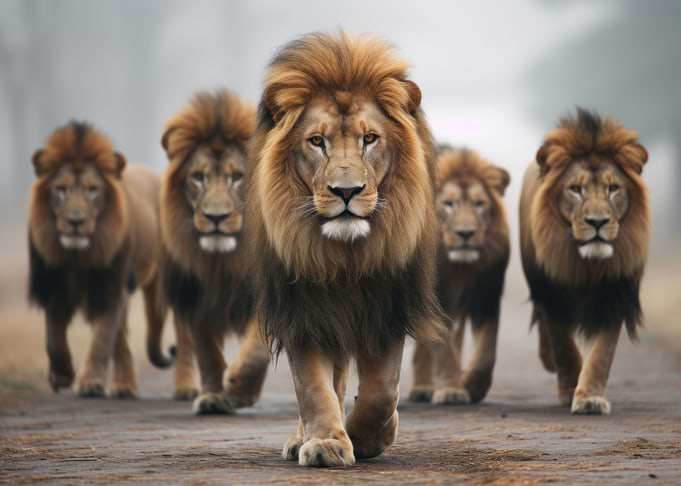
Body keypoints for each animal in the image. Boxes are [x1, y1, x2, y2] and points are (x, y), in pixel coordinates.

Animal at [28, 121, 172, 398]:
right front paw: (61, 376)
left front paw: (90, 383)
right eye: (60, 189)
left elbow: (102, 338)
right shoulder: (54, 285)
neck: (78, 256)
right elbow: (53, 338)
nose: (75, 221)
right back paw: (124, 385)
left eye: (92, 190)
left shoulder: (111, 285)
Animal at [159, 89, 269, 414]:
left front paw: (240, 388)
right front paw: (212, 398)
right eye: (198, 177)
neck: (223, 263)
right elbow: (207, 352)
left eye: (237, 177)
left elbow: (257, 347)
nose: (215, 217)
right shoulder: (196, 296)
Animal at [244, 32, 444, 467]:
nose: (347, 191)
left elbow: (382, 390)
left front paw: (367, 436)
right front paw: (326, 443)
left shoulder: (386, 305)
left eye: (370, 139)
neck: (346, 259)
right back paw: (303, 438)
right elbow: (313, 387)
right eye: (317, 142)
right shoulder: (303, 310)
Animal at [410, 147, 510, 405]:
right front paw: (452, 391)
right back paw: (423, 387)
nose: (466, 233)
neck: (459, 267)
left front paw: (473, 386)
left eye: (479, 204)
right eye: (448, 203)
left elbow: (487, 351)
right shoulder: (437, 301)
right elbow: (444, 349)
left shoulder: (486, 295)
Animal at [520, 108, 649, 415]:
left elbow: (602, 353)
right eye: (576, 189)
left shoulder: (614, 294)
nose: (598, 222)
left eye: (613, 188)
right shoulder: (551, 293)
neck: (587, 264)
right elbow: (564, 346)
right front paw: (570, 389)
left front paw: (590, 397)